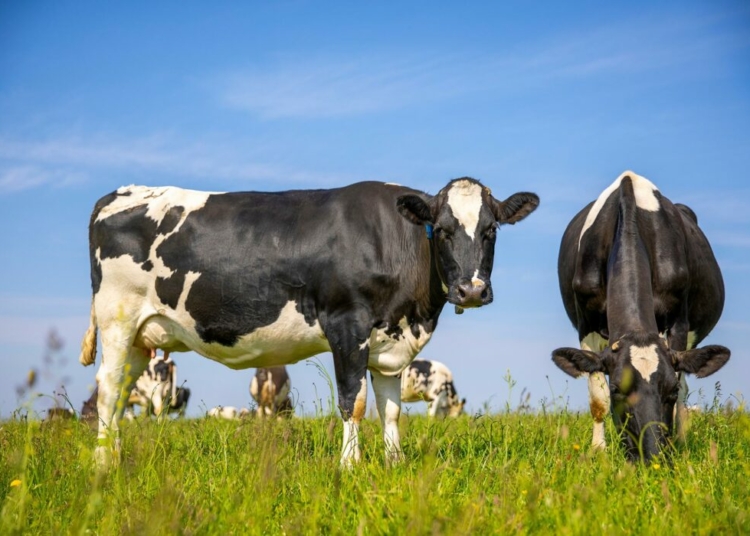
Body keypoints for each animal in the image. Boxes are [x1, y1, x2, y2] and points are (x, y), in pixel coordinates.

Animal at [78, 178, 539, 467]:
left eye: (491, 230)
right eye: (442, 230)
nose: (472, 291)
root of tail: (119, 193)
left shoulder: (390, 339)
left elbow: (390, 409)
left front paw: (395, 463)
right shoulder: (347, 325)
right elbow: (353, 401)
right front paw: (350, 466)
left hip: (143, 337)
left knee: (121, 394)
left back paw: (115, 455)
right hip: (118, 319)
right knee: (107, 390)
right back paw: (102, 463)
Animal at [552, 171, 730, 462]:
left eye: (670, 389)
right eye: (617, 389)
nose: (653, 455)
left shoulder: (678, 322)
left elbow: (681, 387)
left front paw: (676, 446)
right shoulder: (586, 324)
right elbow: (597, 397)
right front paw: (598, 450)